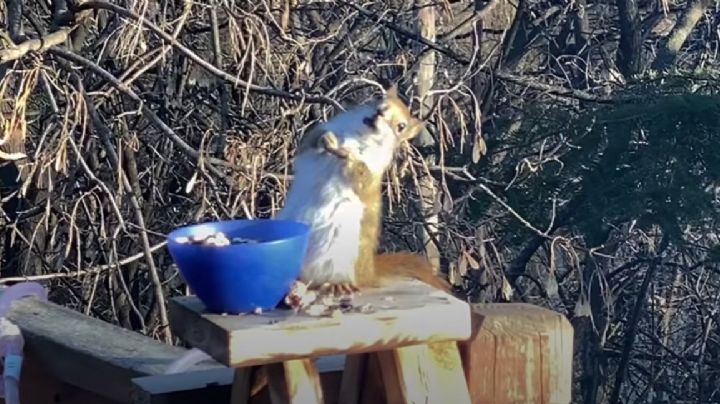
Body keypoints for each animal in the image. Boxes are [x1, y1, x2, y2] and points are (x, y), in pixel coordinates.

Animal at [276, 86, 450, 295]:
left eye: (401, 126)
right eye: (379, 99)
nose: (379, 113)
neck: (360, 135)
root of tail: (367, 273)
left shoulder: (373, 171)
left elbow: (361, 177)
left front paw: (349, 156)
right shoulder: (318, 134)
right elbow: (310, 141)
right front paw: (326, 139)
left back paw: (337, 284)